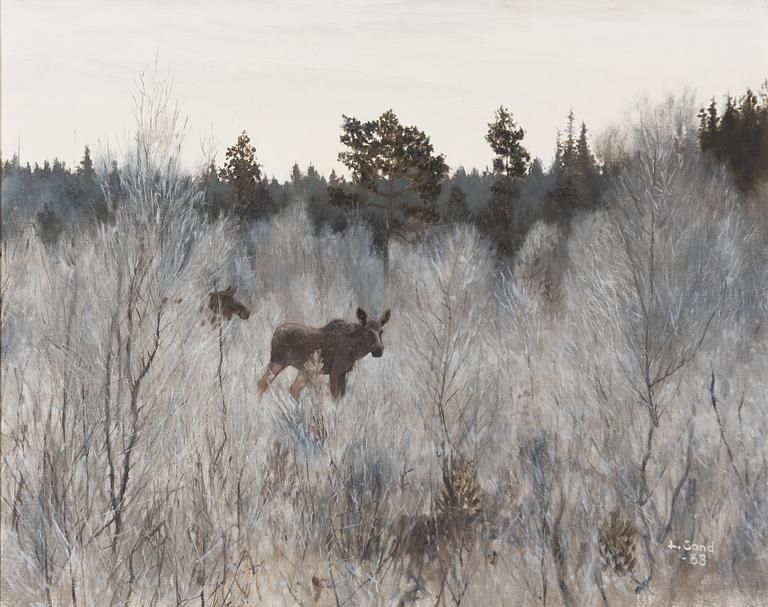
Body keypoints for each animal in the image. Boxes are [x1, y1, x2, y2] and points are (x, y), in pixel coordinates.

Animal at [257, 307, 391, 401]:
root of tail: (276, 331)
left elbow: (341, 397)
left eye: (381, 331)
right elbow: (335, 397)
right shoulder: (334, 372)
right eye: (369, 331)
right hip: (278, 360)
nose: (379, 349)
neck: (356, 351)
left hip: (304, 370)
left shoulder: (343, 372)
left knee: (292, 388)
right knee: (263, 383)